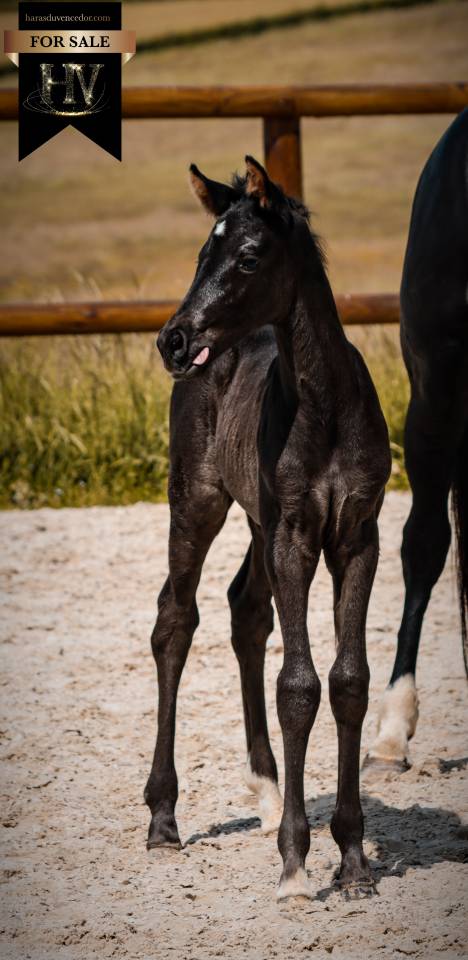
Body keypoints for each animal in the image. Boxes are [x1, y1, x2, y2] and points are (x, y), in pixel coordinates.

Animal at [145, 155, 391, 900]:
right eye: (203, 253)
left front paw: (353, 861)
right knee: (175, 620)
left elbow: (348, 681)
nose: (174, 339)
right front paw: (295, 863)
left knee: (245, 611)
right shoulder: (293, 537)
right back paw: (163, 817)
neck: (326, 409)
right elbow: (299, 686)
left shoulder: (355, 538)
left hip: (256, 520)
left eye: (249, 258)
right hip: (197, 500)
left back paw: (263, 788)